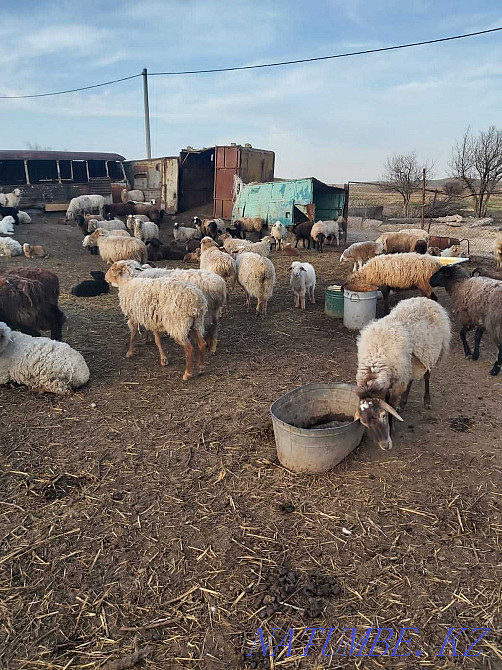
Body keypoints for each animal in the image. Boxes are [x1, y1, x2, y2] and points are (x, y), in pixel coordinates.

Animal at [355, 297, 451, 450]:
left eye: (383, 415)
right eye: (365, 423)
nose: (385, 445)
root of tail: (425, 299)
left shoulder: (398, 382)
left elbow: (392, 405)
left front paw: (392, 428)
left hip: (430, 355)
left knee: (427, 376)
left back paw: (427, 400)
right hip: (409, 364)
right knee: (410, 379)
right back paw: (404, 402)